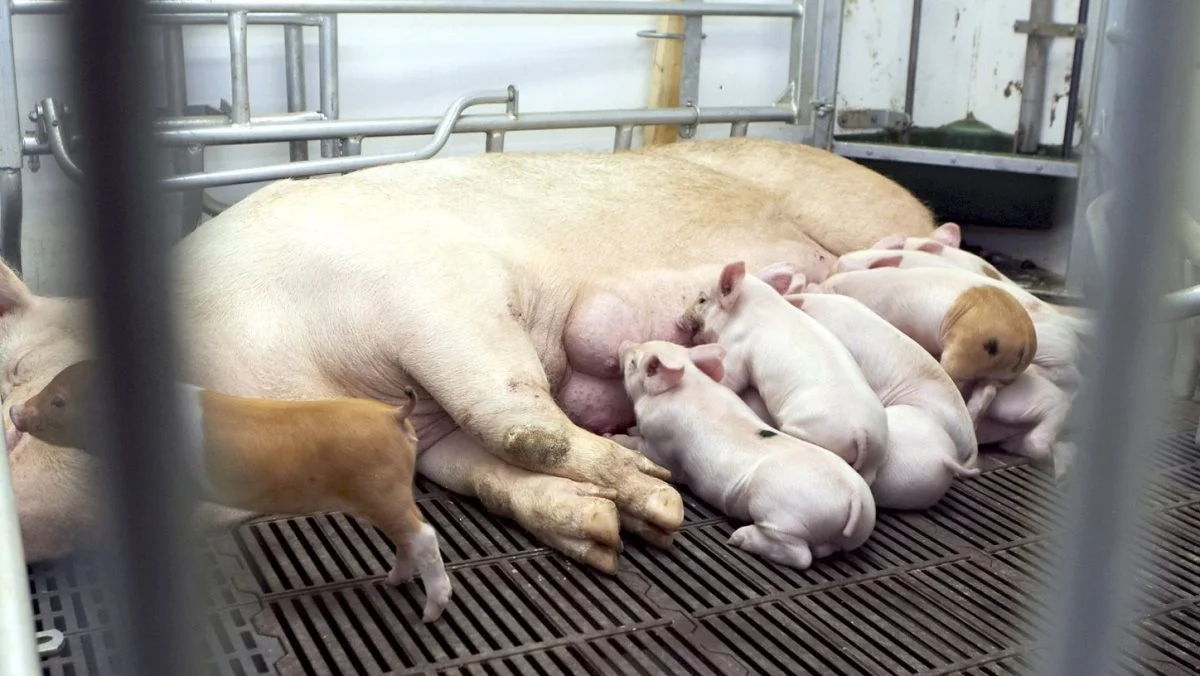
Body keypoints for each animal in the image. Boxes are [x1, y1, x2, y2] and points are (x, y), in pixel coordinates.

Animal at [619, 341, 873, 569]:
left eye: (633, 362)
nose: (624, 345)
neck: (688, 385)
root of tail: (853, 497)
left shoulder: (661, 446)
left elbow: (643, 448)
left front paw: (618, 435)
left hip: (782, 514)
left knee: (801, 556)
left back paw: (739, 538)